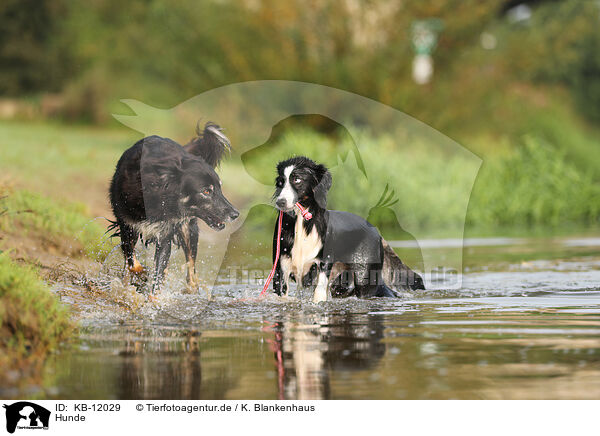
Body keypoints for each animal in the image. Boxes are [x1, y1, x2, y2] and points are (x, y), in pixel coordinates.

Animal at [109, 121, 240, 294]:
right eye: (206, 191)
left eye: (220, 188)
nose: (235, 214)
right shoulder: (126, 225)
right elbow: (132, 262)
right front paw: (140, 276)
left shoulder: (165, 235)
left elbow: (158, 276)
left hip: (188, 229)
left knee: (191, 266)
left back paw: (192, 288)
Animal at [270, 155, 424, 302]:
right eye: (280, 182)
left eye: (297, 180)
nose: (280, 202)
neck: (302, 224)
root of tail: (377, 232)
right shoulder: (281, 267)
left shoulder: (323, 262)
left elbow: (319, 291)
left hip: (366, 278)